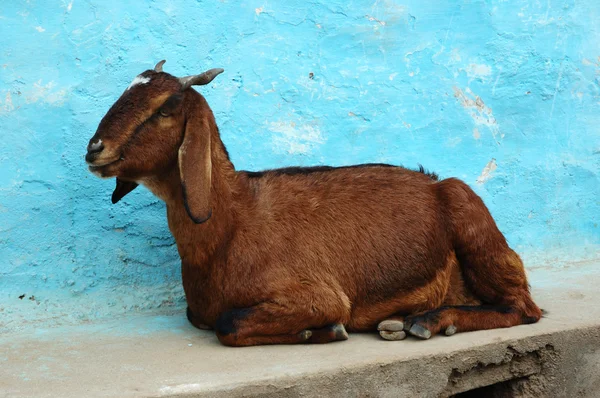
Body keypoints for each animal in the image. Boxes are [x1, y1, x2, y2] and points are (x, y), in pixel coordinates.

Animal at [85, 60, 544, 346]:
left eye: (165, 107)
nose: (94, 148)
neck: (232, 222)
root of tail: (435, 183)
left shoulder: (317, 294)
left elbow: (227, 323)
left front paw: (323, 332)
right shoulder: (197, 309)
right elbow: (204, 318)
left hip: (476, 229)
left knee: (523, 308)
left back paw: (431, 321)